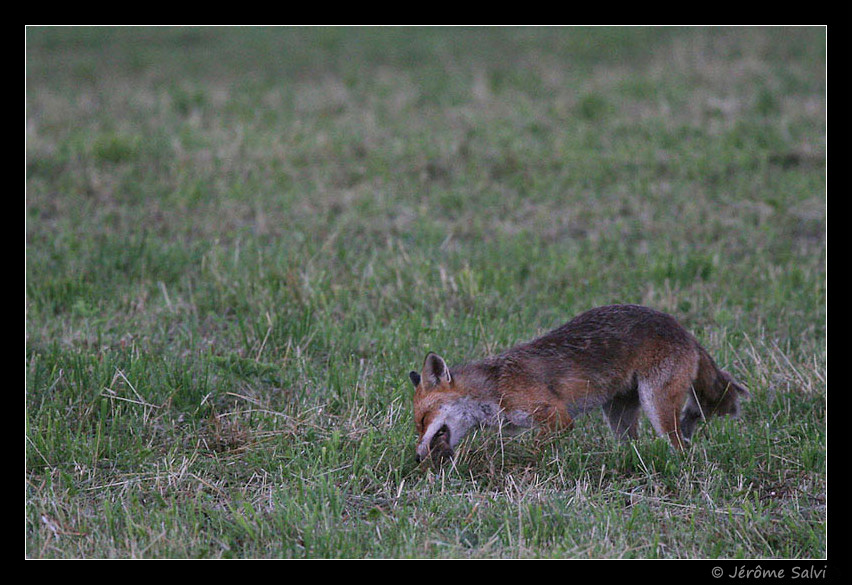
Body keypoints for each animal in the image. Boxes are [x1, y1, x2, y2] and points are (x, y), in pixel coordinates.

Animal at [409, 304, 749, 463]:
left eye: (422, 420)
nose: (417, 457)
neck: (492, 388)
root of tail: (684, 330)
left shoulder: (556, 416)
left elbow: (534, 448)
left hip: (657, 406)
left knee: (681, 446)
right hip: (618, 415)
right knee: (634, 443)